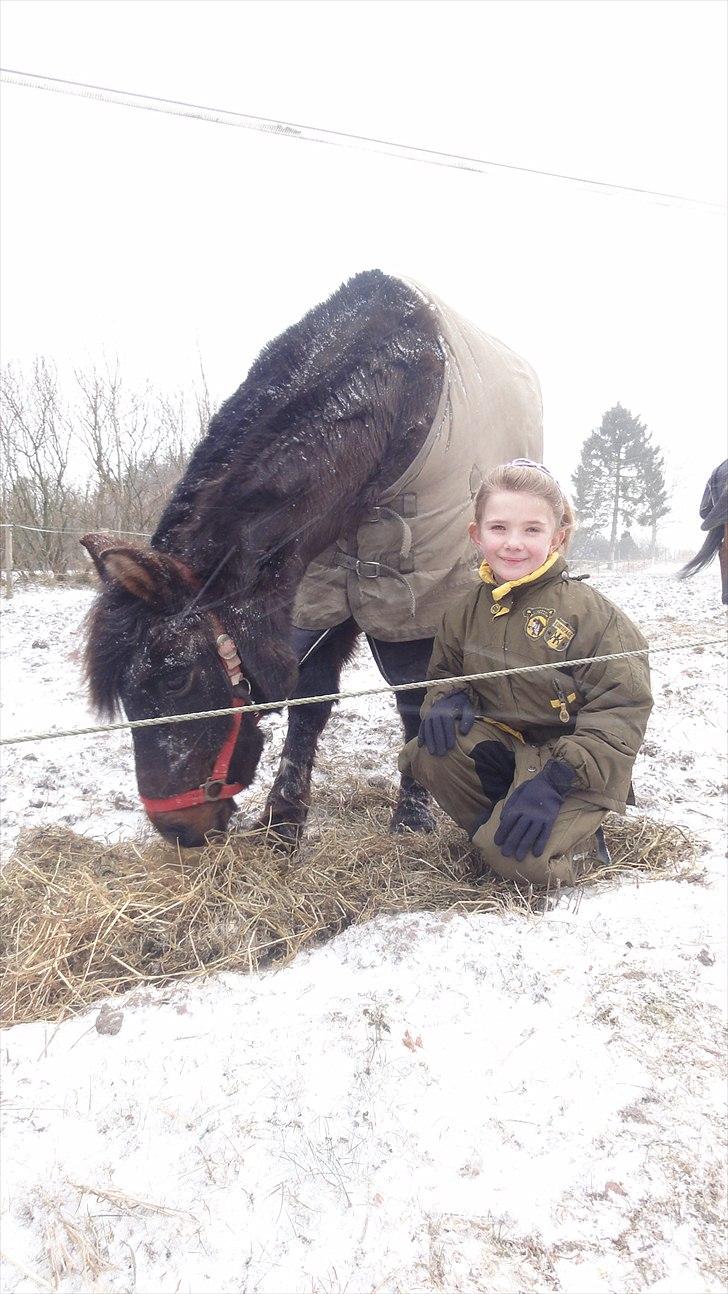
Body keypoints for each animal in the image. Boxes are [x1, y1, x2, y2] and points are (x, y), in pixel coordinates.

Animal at [82, 273, 543, 848]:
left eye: (174, 680)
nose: (178, 830)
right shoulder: (316, 590)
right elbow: (309, 701)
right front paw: (283, 821)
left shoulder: (412, 595)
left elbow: (415, 694)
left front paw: (411, 817)